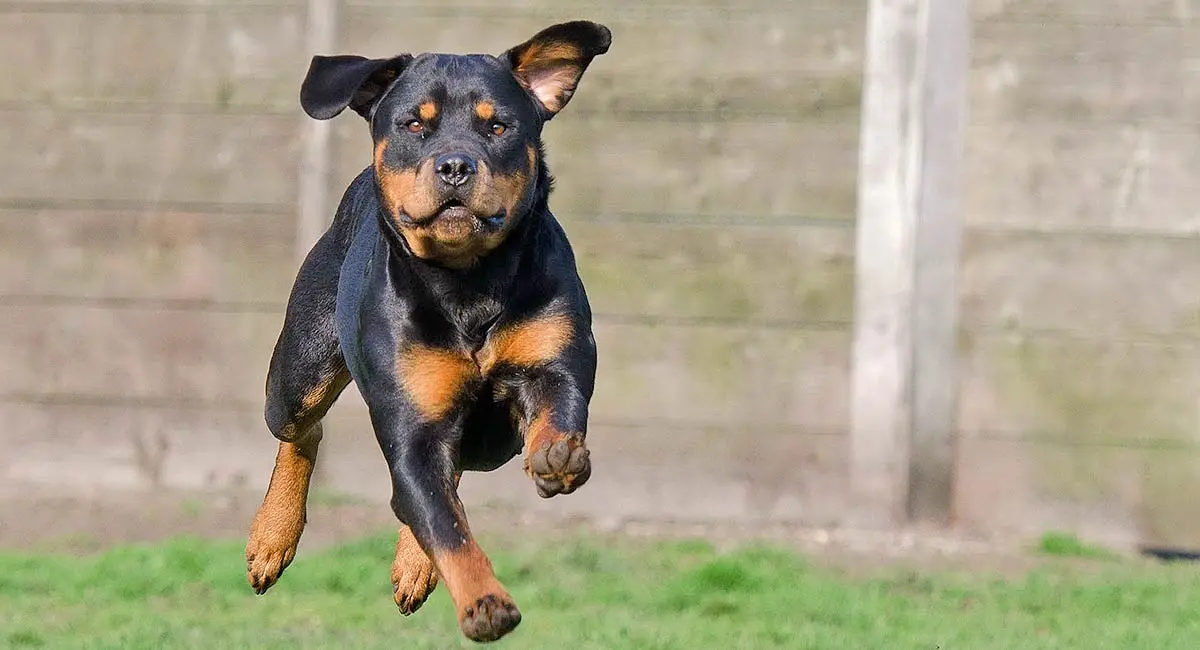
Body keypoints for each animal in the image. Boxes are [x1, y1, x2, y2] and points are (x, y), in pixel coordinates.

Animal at [242, 21, 609, 647]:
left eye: (498, 126)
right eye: (415, 123)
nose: (456, 165)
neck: (469, 281)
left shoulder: (554, 358)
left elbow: (556, 406)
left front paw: (557, 452)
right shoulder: (411, 421)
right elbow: (443, 523)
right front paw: (486, 602)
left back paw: (412, 565)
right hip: (297, 374)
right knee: (304, 431)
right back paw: (272, 540)